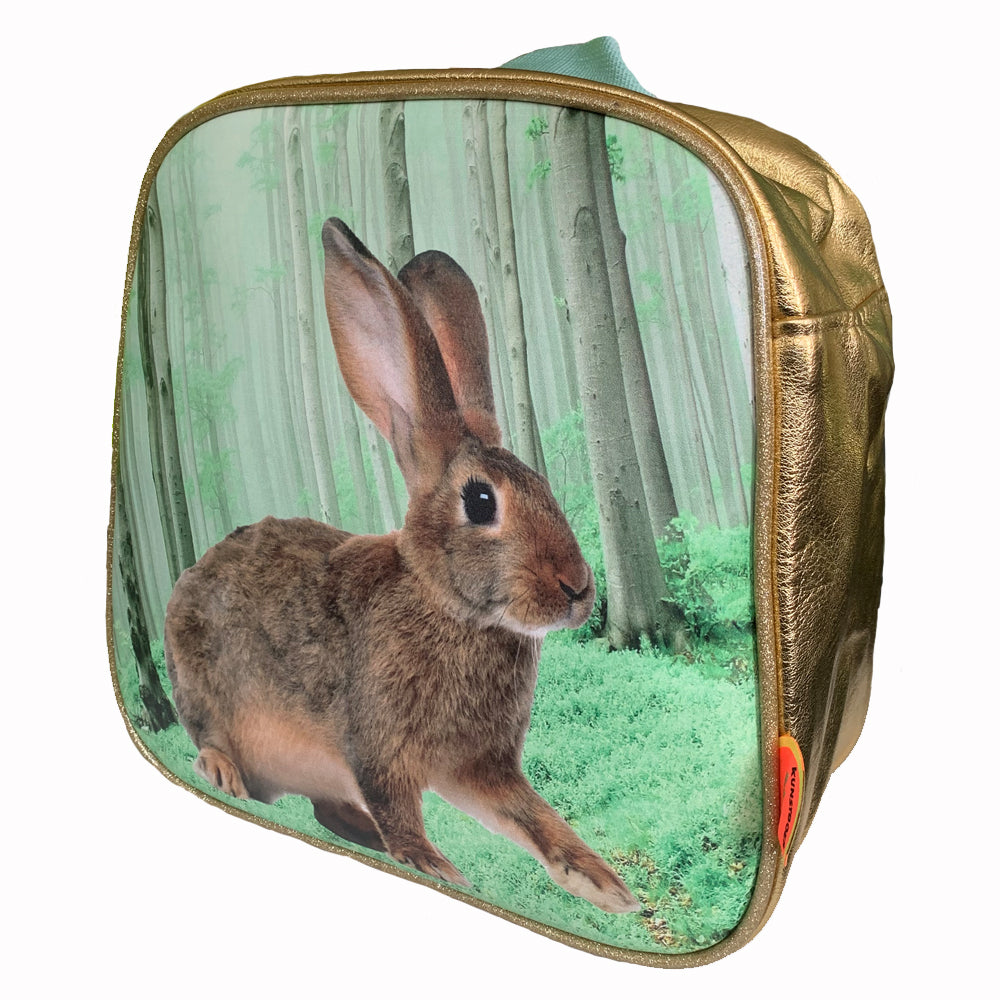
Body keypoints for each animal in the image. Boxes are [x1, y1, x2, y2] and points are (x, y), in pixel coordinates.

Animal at [163, 217, 640, 914]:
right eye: (481, 501)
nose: (578, 589)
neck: (450, 608)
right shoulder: (378, 743)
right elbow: (397, 804)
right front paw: (436, 866)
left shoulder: (478, 768)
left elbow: (532, 816)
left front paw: (604, 884)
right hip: (207, 688)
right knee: (213, 738)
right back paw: (225, 772)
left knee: (329, 812)